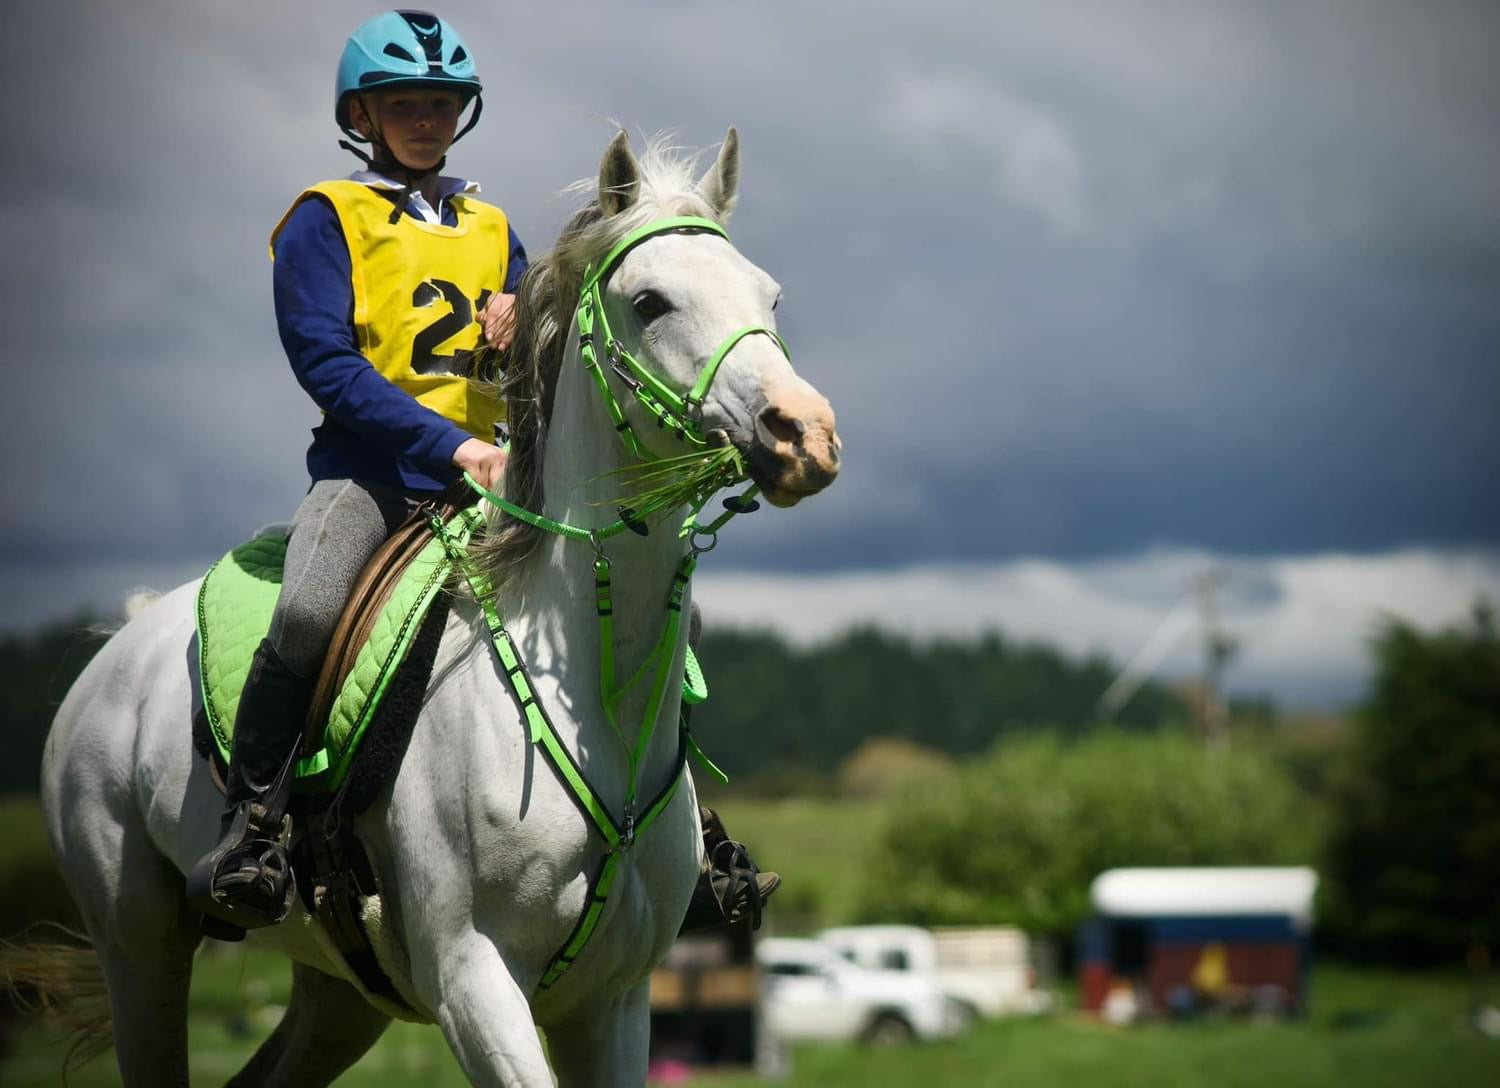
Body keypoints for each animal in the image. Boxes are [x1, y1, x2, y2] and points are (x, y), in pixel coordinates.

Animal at [26, 133, 846, 1086]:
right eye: (650, 302)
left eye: (769, 295)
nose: (804, 433)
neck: (593, 688)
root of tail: (122, 643)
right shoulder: (473, 979)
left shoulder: (613, 1002)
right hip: (139, 944)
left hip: (344, 992)